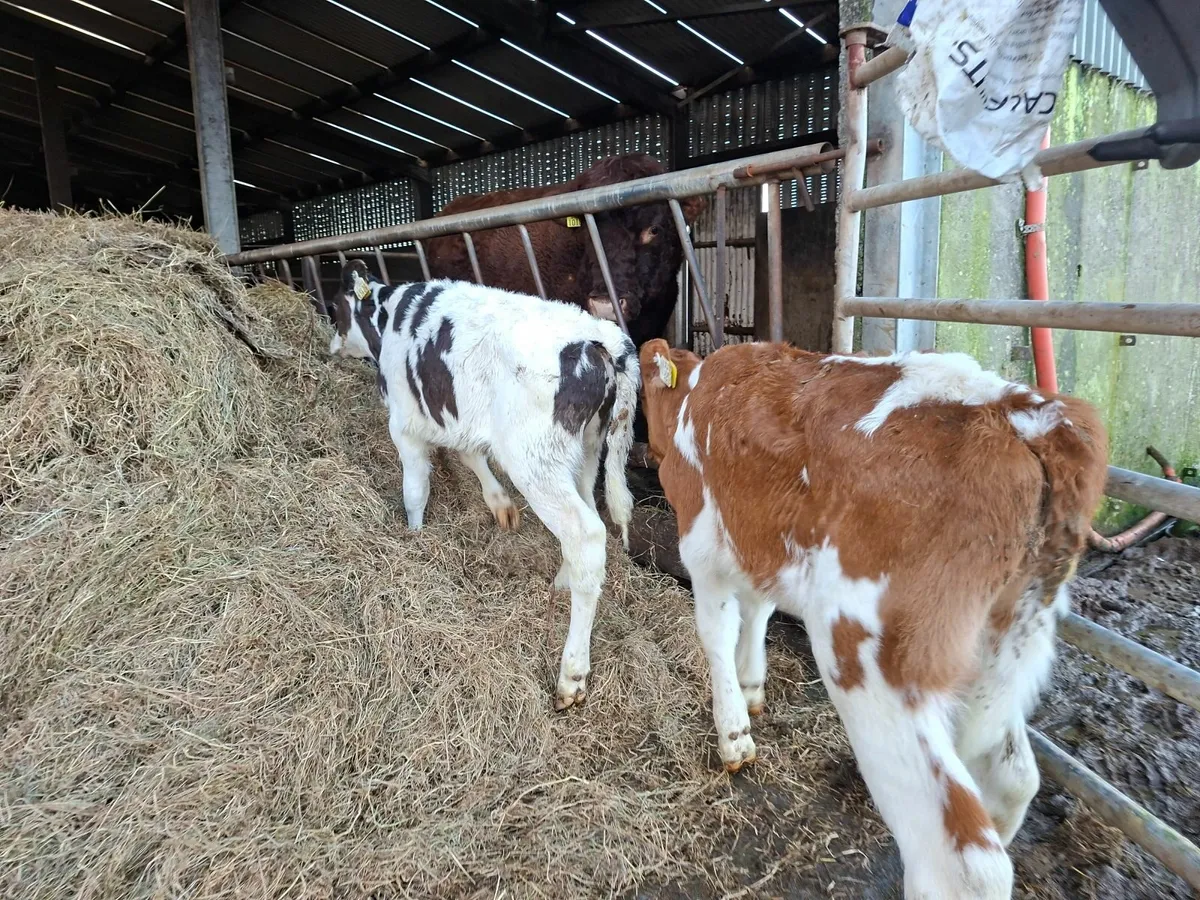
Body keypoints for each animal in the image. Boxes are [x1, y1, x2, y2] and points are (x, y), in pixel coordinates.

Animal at [329, 260, 640, 711]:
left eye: (334, 307)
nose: (330, 344)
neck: (390, 317)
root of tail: (601, 337)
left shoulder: (404, 424)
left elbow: (415, 489)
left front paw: (414, 536)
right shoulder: (457, 417)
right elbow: (470, 454)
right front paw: (499, 505)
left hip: (535, 462)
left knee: (586, 535)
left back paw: (571, 676)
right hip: (586, 450)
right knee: (589, 517)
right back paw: (562, 582)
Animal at [638, 338, 1109, 899]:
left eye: (639, 392)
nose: (645, 453)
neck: (696, 392)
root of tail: (1026, 416)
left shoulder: (701, 544)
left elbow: (717, 635)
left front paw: (733, 733)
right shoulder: (756, 540)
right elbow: (758, 611)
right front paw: (753, 690)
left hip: (872, 662)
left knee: (963, 864)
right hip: (997, 649)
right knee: (1015, 778)